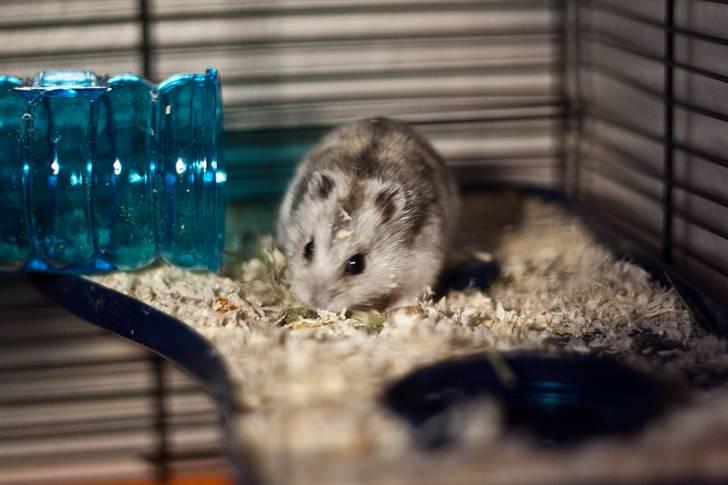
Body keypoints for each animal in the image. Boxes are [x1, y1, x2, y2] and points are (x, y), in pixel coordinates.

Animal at [276, 117, 459, 311]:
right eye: (308, 248)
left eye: (357, 264)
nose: (315, 303)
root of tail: (383, 118)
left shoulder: (423, 265)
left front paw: (392, 309)